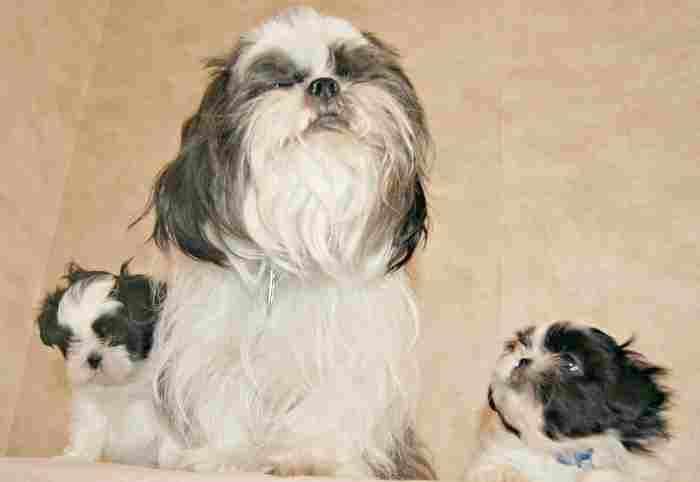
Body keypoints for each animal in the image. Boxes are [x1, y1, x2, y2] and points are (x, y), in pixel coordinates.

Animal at [37, 262, 167, 466]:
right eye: (71, 340)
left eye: (112, 334)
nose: (92, 359)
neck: (122, 383)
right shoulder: (88, 403)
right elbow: (87, 428)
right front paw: (76, 456)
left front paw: (174, 460)